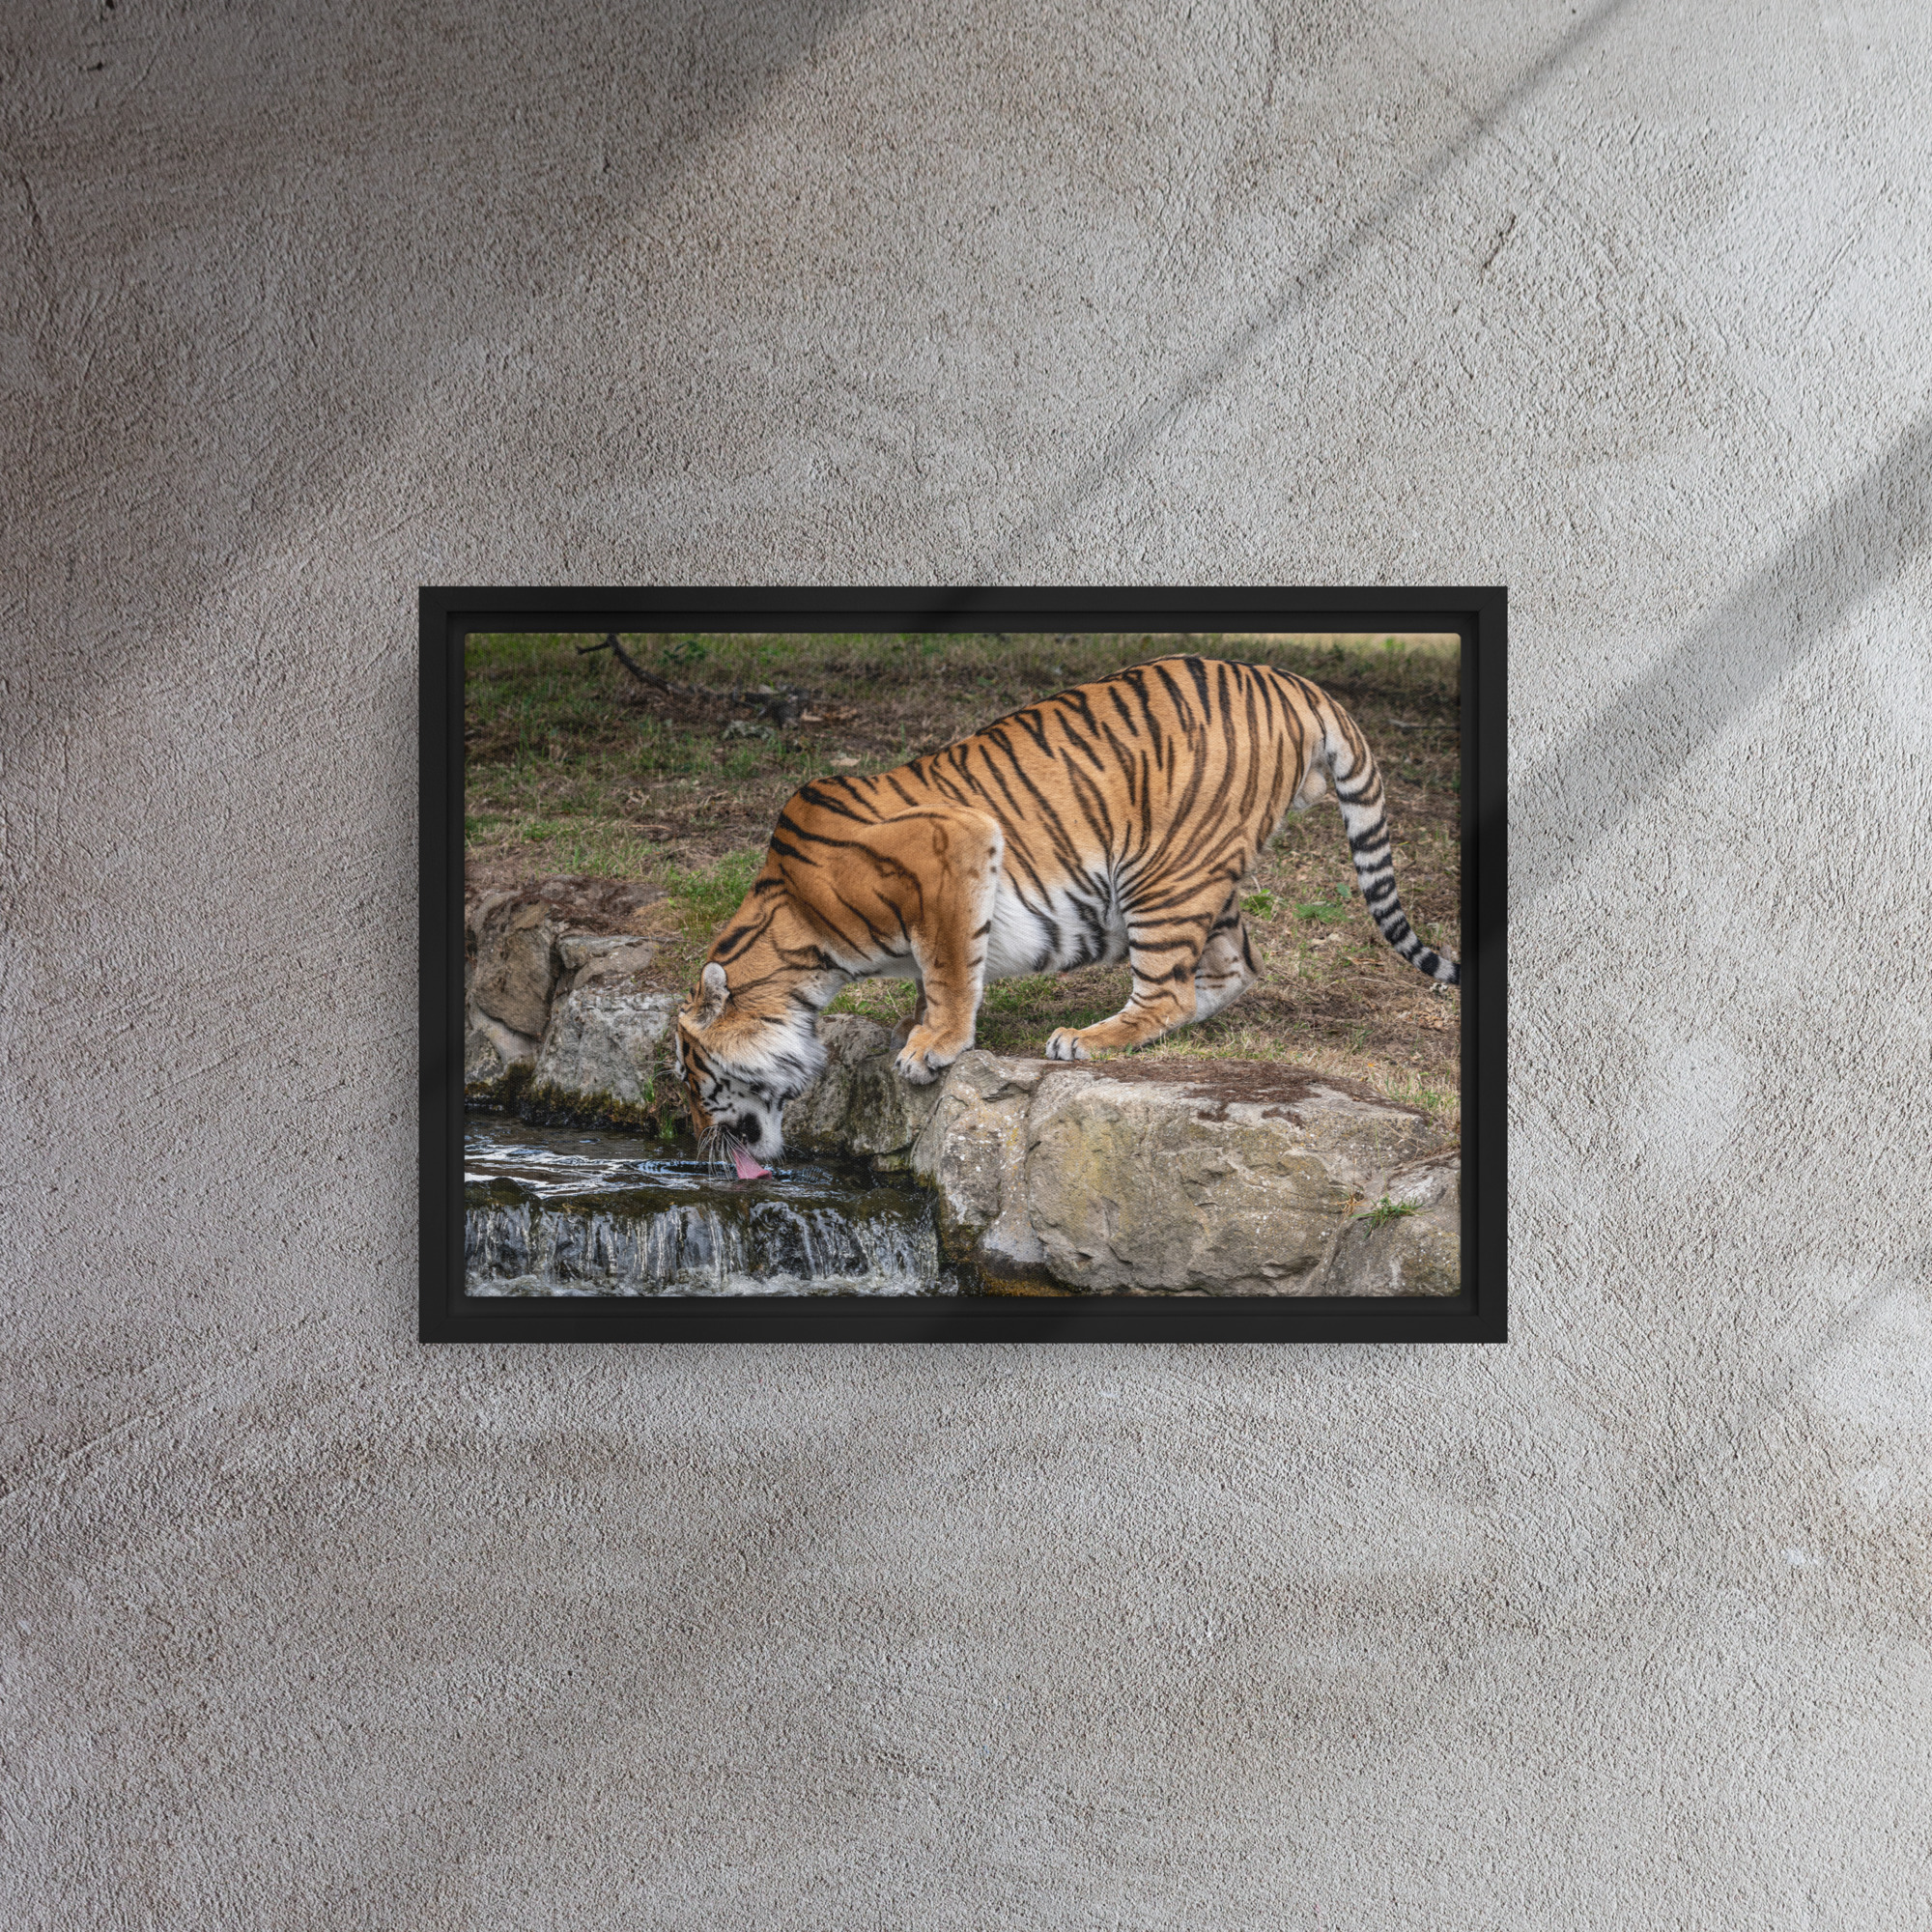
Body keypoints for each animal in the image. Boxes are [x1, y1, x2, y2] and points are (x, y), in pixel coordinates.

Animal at [672, 655, 1458, 1170]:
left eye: (690, 1077)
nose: (696, 1141)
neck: (798, 940)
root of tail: (1293, 682)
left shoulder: (954, 843)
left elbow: (949, 966)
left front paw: (933, 1047)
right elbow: (936, 971)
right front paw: (916, 1028)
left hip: (1160, 871)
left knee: (1167, 991)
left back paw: (1086, 1038)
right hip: (1204, 875)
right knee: (1233, 968)